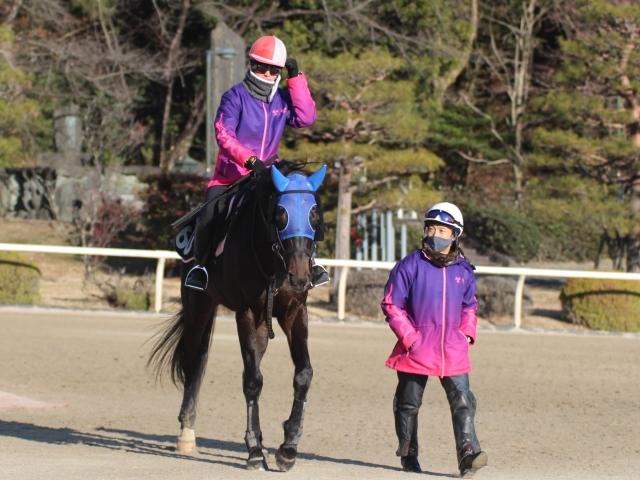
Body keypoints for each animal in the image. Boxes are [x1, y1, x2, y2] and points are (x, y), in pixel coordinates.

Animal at [149, 162, 324, 472]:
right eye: (280, 215)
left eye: (314, 215)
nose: (301, 276)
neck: (274, 260)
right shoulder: (247, 313)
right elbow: (252, 380)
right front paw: (254, 450)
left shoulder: (294, 313)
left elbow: (303, 374)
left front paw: (288, 446)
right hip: (199, 308)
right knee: (193, 362)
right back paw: (186, 433)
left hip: (261, 325)